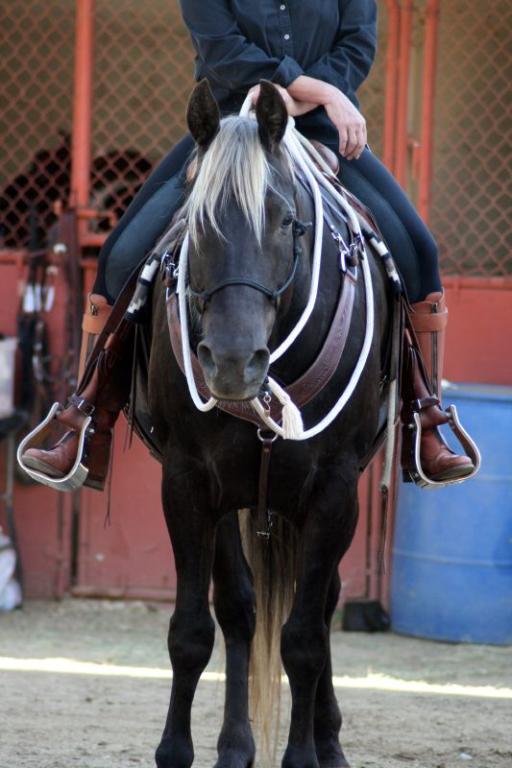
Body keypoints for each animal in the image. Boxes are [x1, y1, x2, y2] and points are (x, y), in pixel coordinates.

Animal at [144, 80, 390, 768]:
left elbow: (304, 640)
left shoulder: (333, 489)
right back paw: (236, 746)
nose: (231, 363)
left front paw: (305, 754)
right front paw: (178, 751)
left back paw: (327, 741)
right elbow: (193, 631)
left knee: (321, 606)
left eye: (284, 220)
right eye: (196, 220)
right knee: (241, 610)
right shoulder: (187, 483)